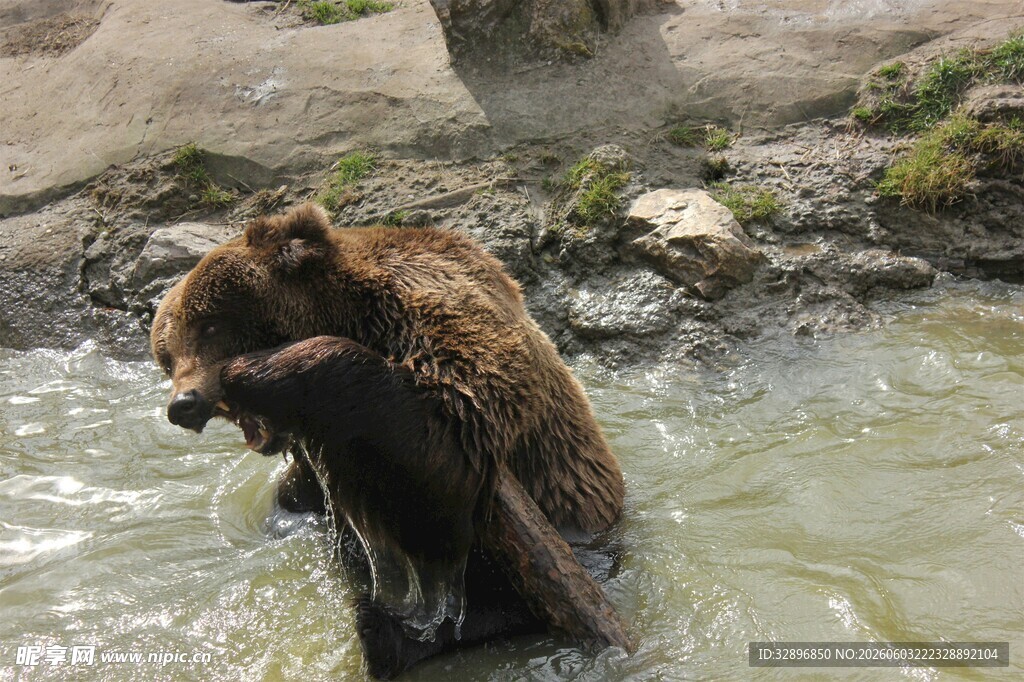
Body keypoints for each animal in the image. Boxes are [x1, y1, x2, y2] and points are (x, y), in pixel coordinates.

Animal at [150, 203, 625, 677]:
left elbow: (452, 449)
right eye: (166, 354)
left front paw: (258, 369)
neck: (353, 313)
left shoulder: (440, 322)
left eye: (209, 325)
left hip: (578, 531)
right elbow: (296, 496)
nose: (183, 404)